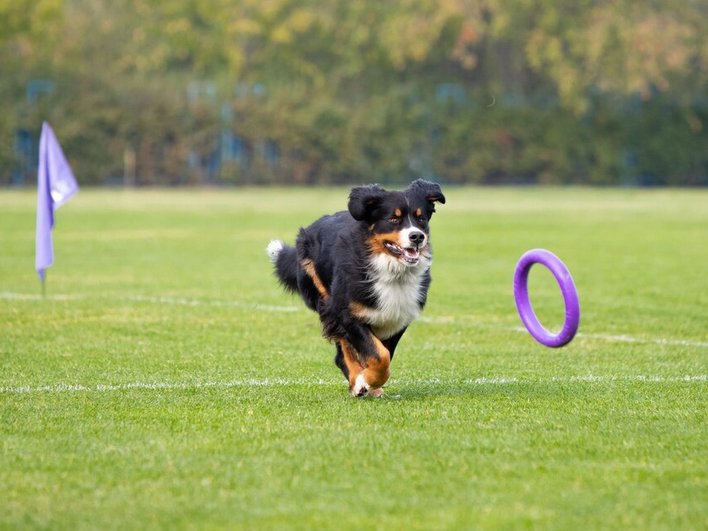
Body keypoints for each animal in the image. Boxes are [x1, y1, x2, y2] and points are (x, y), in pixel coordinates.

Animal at [268, 181, 446, 396]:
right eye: (394, 219)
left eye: (421, 219)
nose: (417, 236)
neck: (391, 270)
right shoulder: (347, 314)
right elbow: (379, 356)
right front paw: (365, 380)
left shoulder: (397, 318)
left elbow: (384, 355)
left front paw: (371, 381)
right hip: (326, 302)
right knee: (342, 352)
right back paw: (357, 382)